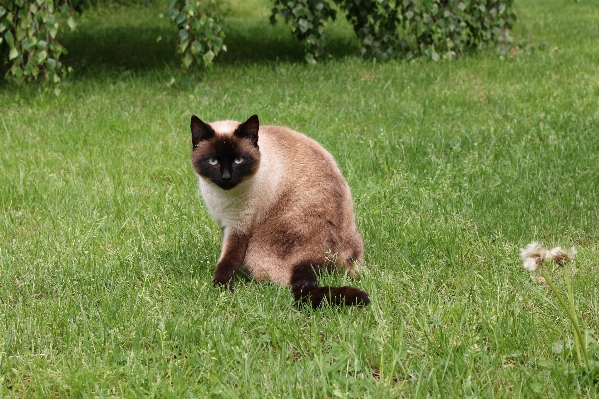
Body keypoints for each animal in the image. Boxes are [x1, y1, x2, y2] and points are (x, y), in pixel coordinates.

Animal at [192, 115, 370, 310]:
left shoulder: (239, 224)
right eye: (213, 161)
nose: (226, 177)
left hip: (256, 253)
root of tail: (313, 259)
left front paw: (221, 287)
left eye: (238, 160)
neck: (221, 196)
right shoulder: (225, 221)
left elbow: (228, 259)